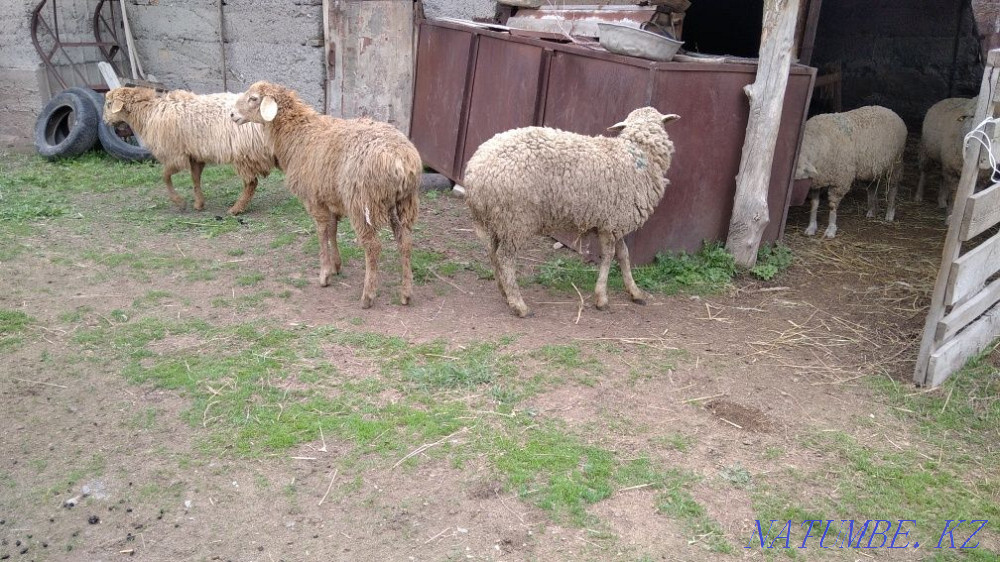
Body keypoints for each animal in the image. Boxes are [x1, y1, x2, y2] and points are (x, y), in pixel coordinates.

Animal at [103, 87, 276, 215]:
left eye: (109, 104)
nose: (104, 121)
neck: (150, 112)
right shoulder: (194, 156)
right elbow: (195, 179)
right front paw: (199, 203)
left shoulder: (176, 156)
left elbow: (165, 176)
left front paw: (179, 202)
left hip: (244, 153)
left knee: (251, 182)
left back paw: (236, 209)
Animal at [229, 81, 421, 309]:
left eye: (254, 99)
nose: (232, 114)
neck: (298, 133)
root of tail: (401, 160)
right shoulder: (329, 197)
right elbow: (332, 231)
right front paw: (336, 265)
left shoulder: (313, 198)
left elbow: (321, 233)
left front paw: (324, 274)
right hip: (403, 202)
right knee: (405, 242)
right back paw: (406, 293)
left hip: (362, 201)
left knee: (373, 246)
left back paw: (368, 296)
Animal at [463, 107, 680, 318]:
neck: (638, 154)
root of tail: (473, 173)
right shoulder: (611, 223)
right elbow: (609, 256)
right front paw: (601, 298)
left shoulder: (615, 220)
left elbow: (624, 255)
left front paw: (635, 292)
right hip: (515, 218)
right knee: (505, 258)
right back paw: (519, 305)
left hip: (497, 220)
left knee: (493, 254)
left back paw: (504, 292)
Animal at [794, 105, 907, 239]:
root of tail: (891, 111)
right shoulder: (817, 180)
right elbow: (814, 204)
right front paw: (811, 227)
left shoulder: (840, 180)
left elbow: (832, 205)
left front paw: (831, 229)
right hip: (871, 168)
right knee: (872, 188)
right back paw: (872, 211)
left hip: (895, 164)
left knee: (893, 188)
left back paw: (889, 213)